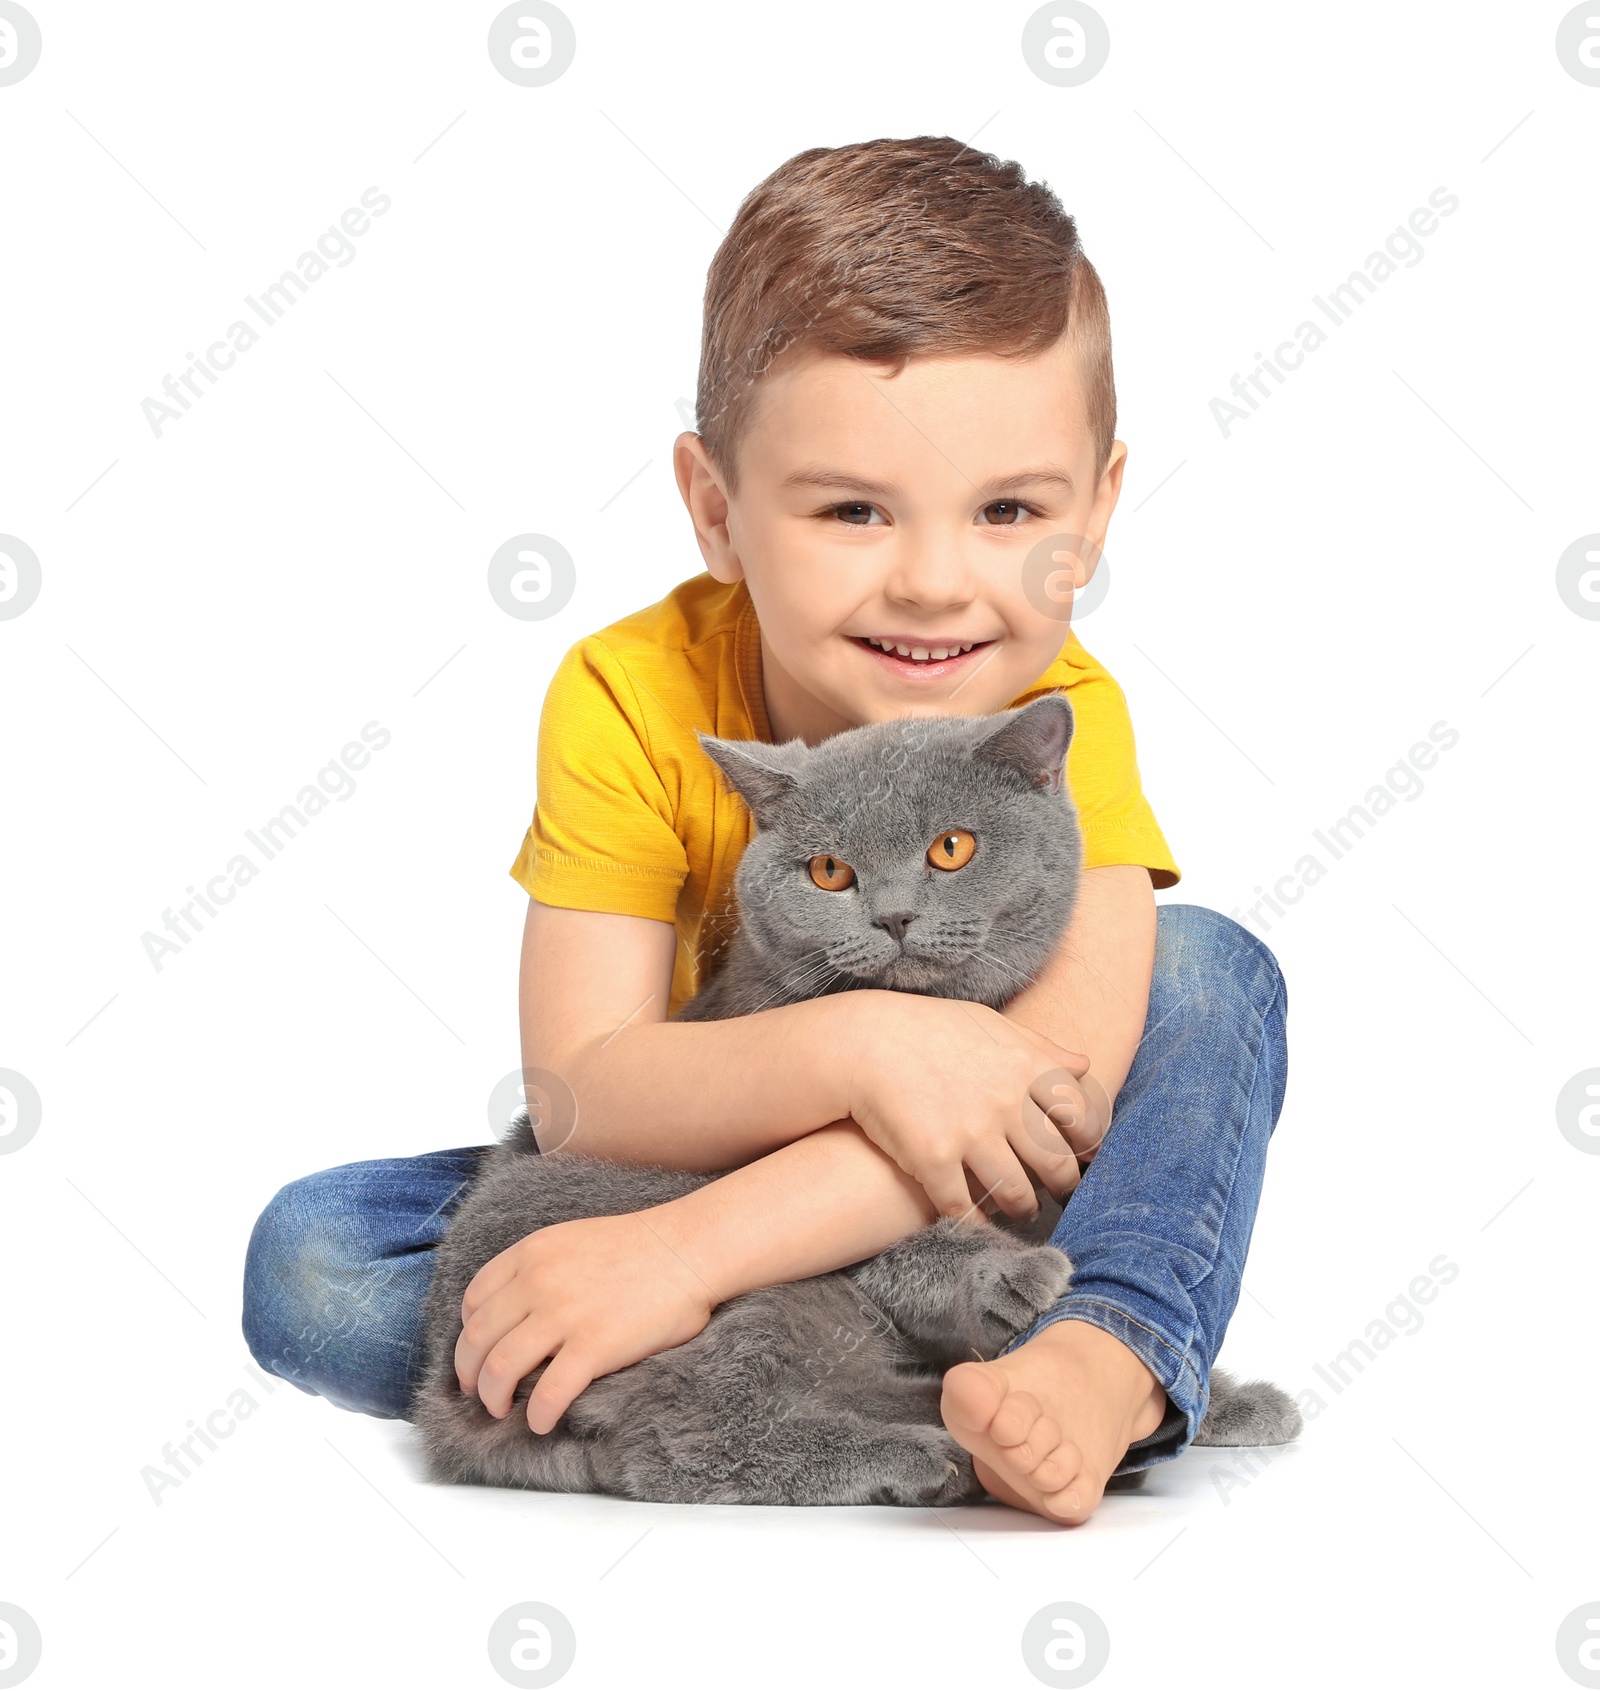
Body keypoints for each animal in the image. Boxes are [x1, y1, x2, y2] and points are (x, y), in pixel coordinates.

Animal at [410, 700, 1298, 1508]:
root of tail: (441, 1395)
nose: (894, 915)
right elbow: (878, 1221)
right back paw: (927, 1456)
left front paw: (1220, 1396)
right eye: (829, 871)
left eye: (952, 847)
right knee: (680, 1433)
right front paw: (998, 1272)